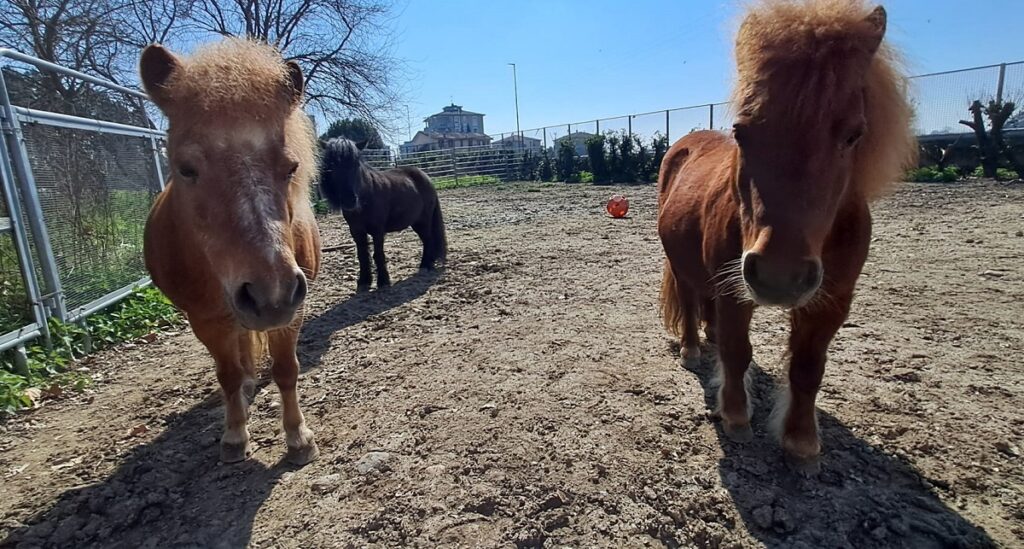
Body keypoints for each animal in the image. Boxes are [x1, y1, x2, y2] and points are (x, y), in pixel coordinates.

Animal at [142, 38, 321, 465]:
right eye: (186, 169)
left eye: (291, 167)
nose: (270, 294)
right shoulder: (205, 319)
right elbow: (227, 375)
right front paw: (235, 435)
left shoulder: (293, 309)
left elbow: (286, 369)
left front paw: (298, 437)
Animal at [319, 137, 448, 288]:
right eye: (332, 166)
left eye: (356, 164)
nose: (349, 200)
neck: (366, 198)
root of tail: (425, 177)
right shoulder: (356, 231)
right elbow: (362, 254)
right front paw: (364, 281)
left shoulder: (378, 230)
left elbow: (378, 253)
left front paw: (383, 281)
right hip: (416, 222)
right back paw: (429, 263)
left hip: (424, 220)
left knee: (428, 239)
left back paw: (425, 265)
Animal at [659, 0, 917, 469]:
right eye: (742, 131)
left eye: (853, 134)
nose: (779, 276)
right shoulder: (735, 291)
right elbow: (738, 351)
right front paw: (736, 416)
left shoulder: (832, 302)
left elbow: (807, 367)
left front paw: (801, 440)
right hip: (681, 263)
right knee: (688, 302)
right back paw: (692, 347)